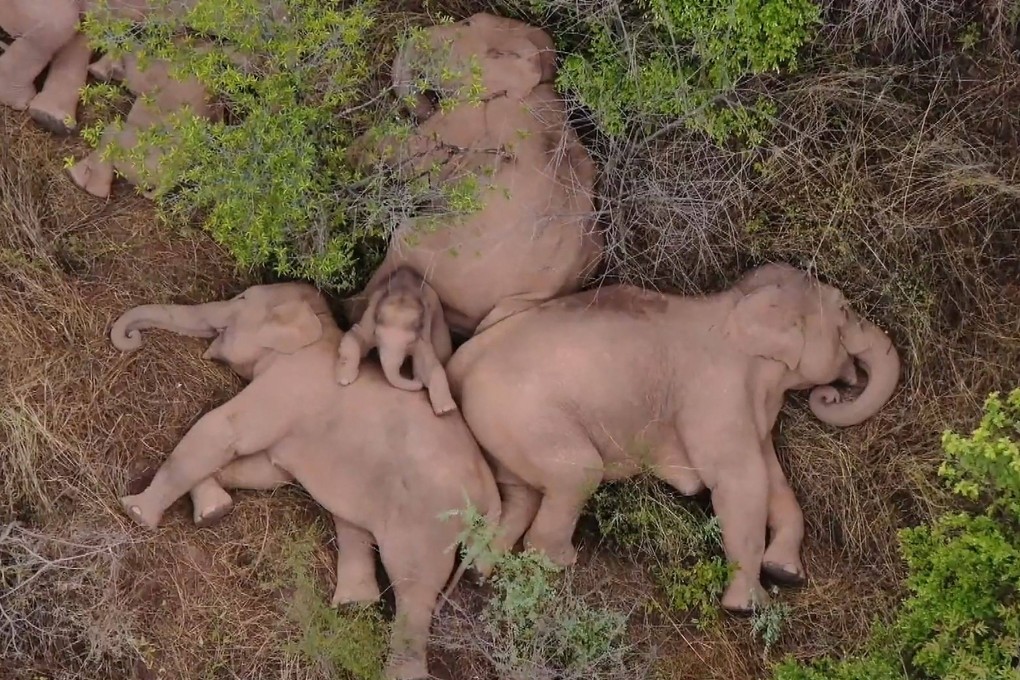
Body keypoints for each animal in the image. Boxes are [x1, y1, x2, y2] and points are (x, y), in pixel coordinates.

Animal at [107, 281, 501, 680]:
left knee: (413, 587)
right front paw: (213, 510)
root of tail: (491, 492)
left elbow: (223, 431)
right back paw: (353, 605)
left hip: (430, 520)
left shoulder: (286, 384)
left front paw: (136, 512)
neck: (320, 327)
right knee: (355, 527)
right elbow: (266, 471)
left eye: (241, 300)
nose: (132, 338)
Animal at [337, 266, 457, 416]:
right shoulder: (369, 318)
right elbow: (355, 336)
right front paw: (344, 380)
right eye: (377, 335)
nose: (417, 381)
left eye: (410, 342)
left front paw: (446, 410)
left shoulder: (423, 335)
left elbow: (430, 363)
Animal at [445, 262, 901, 613]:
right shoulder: (714, 393)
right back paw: (560, 563)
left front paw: (785, 573)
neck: (736, 303)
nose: (831, 393)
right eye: (845, 310)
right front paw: (747, 608)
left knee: (520, 493)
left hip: (501, 428)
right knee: (577, 474)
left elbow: (773, 480)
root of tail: (462, 360)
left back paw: (480, 573)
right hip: (521, 414)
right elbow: (740, 481)